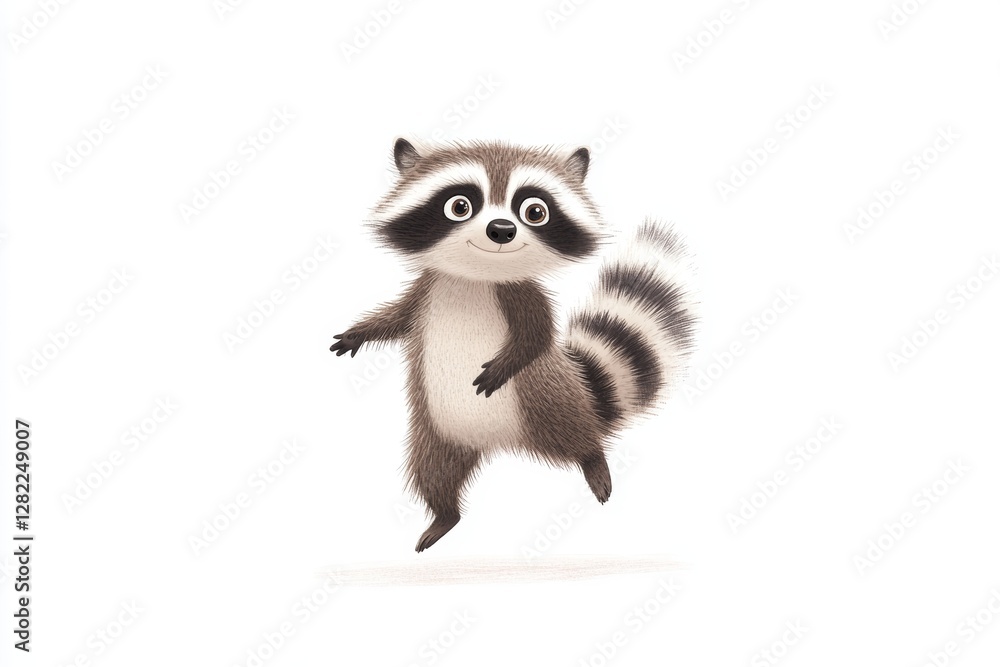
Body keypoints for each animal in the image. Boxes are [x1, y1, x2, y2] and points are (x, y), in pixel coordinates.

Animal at [331, 138, 696, 551]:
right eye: (460, 205)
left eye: (534, 211)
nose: (501, 229)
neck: (476, 276)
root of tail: (498, 441)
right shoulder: (427, 290)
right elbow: (397, 318)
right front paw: (361, 332)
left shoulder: (523, 296)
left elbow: (536, 338)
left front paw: (507, 362)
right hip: (439, 432)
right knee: (432, 472)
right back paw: (444, 515)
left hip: (549, 402)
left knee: (575, 435)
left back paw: (593, 459)